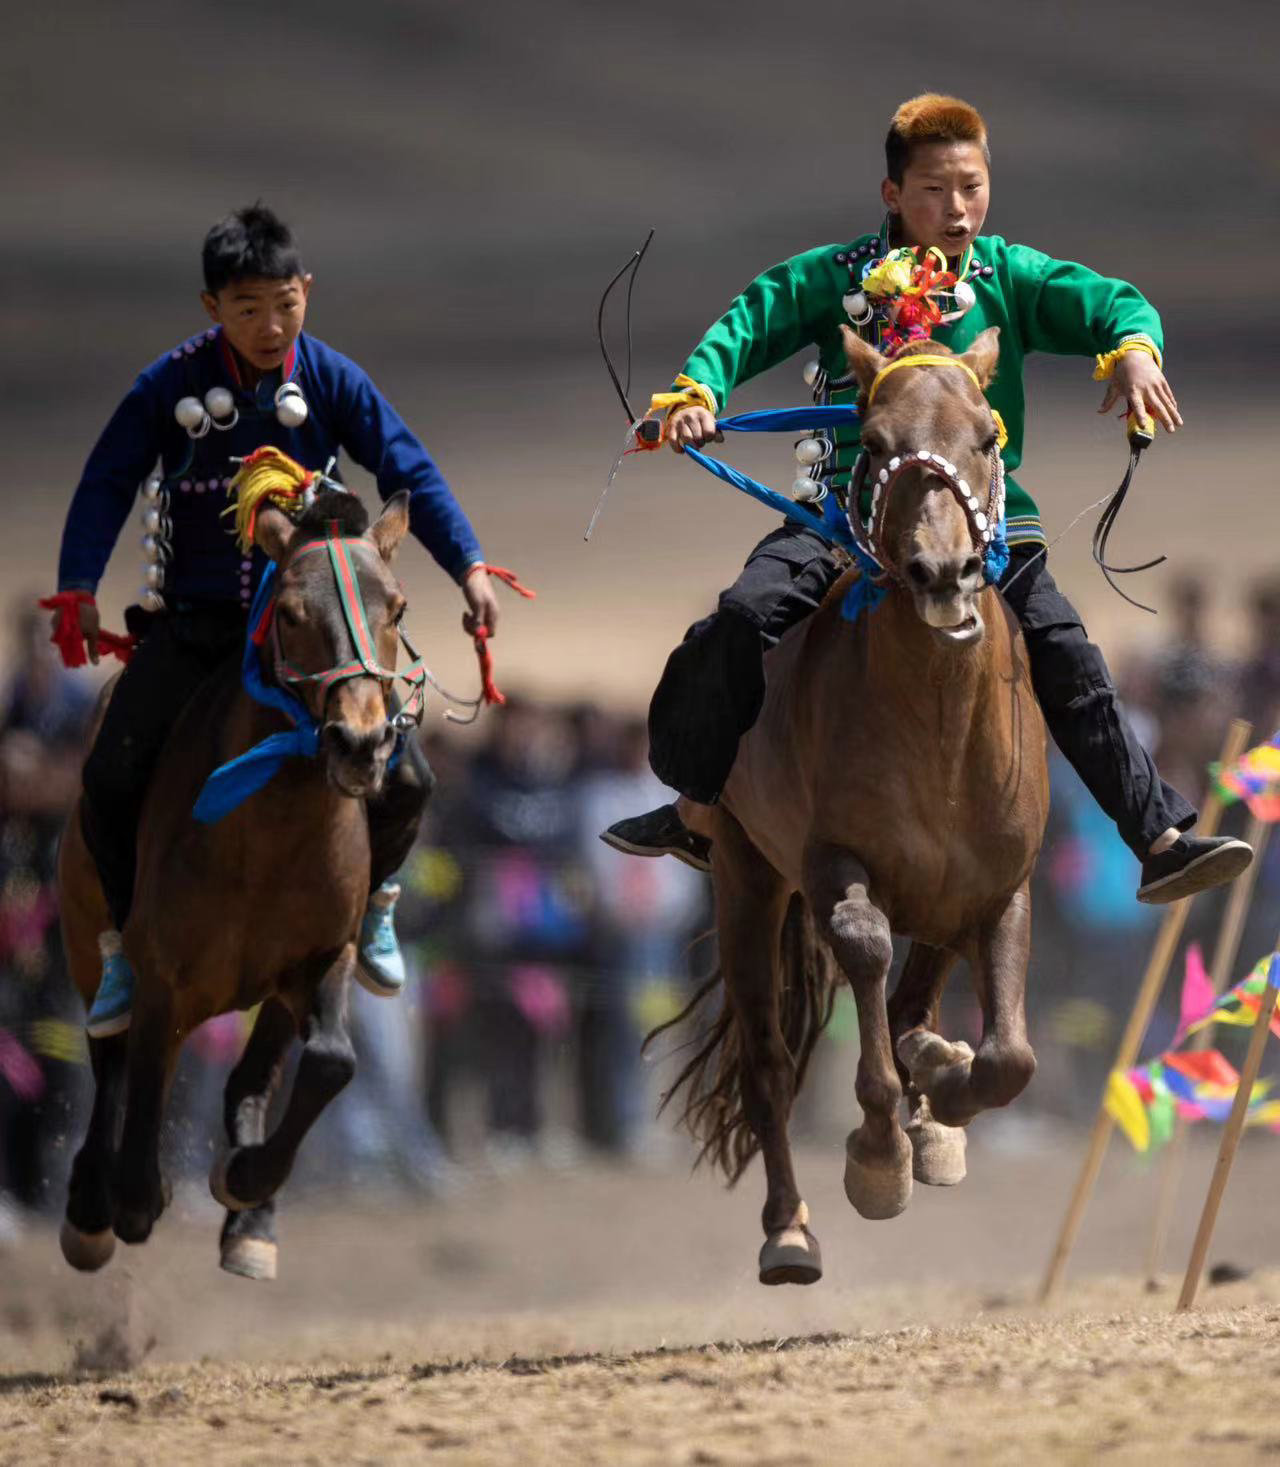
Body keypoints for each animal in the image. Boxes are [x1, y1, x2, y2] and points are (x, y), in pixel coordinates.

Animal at [58, 487, 410, 1279]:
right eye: (289, 613)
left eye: (397, 608)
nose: (361, 743)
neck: (269, 834)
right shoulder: (163, 977)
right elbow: (140, 1094)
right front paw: (135, 1197)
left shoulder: (322, 958)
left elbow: (331, 1063)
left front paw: (245, 1179)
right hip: (89, 943)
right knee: (112, 1062)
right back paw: (92, 1209)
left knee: (254, 1077)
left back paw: (252, 1220)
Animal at [665, 330, 1043, 1285]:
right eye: (873, 440)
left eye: (987, 435)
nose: (943, 571)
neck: (938, 724)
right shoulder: (831, 861)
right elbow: (866, 950)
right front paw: (879, 1150)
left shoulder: (999, 886)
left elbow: (1008, 1057)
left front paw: (942, 1090)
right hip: (744, 874)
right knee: (767, 1059)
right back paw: (789, 1230)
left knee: (914, 1005)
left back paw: (931, 1080)